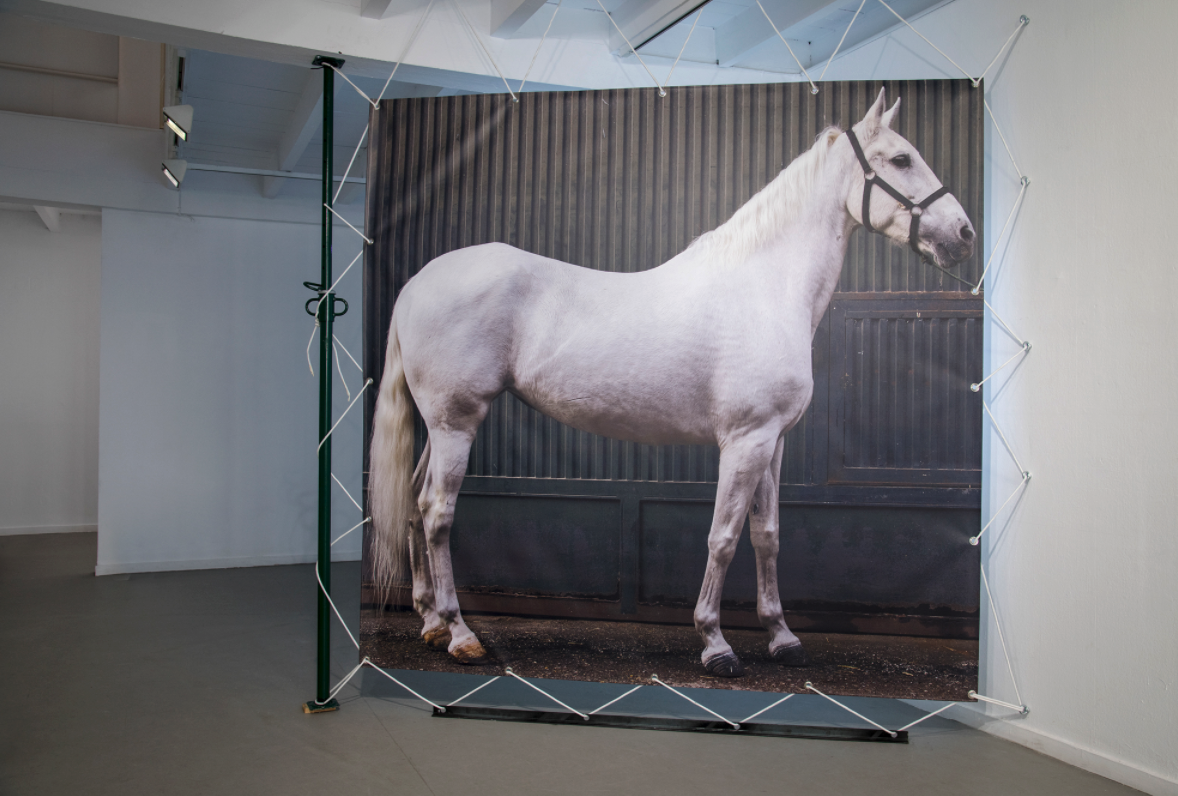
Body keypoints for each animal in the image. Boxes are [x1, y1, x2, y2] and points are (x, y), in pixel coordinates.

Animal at [369, 87, 976, 677]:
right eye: (901, 158)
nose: (964, 234)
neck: (763, 288)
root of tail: (417, 282)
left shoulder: (772, 442)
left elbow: (768, 536)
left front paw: (782, 637)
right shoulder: (745, 441)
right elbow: (724, 538)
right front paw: (715, 644)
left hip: (441, 424)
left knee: (415, 503)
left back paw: (430, 624)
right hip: (457, 421)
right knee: (437, 512)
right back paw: (460, 634)